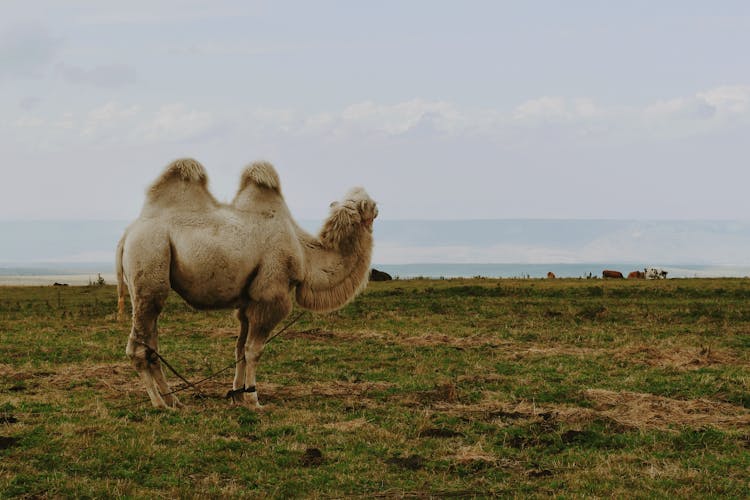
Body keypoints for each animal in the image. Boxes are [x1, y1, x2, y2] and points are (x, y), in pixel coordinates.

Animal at [115, 158, 378, 408]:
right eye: (370, 204)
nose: (378, 209)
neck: (305, 255)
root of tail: (127, 235)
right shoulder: (271, 296)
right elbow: (254, 350)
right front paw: (254, 399)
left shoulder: (247, 301)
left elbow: (240, 349)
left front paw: (237, 396)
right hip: (149, 261)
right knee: (138, 348)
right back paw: (159, 403)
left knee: (151, 346)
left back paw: (174, 401)